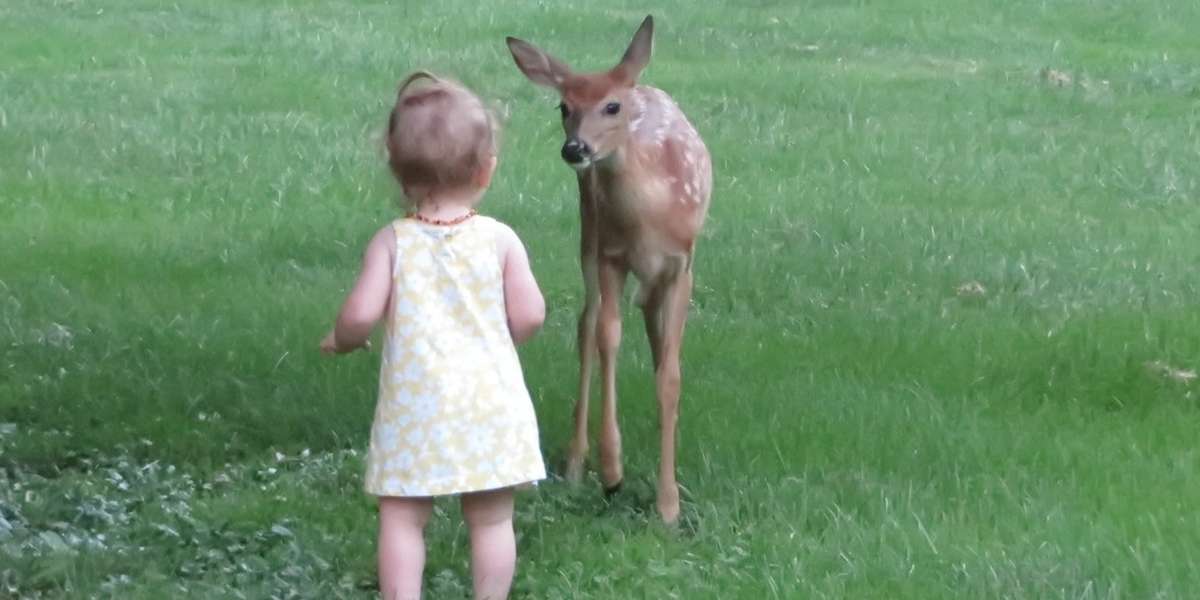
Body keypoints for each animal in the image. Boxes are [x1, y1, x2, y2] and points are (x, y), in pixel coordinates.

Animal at [506, 12, 710, 520]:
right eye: (563, 106)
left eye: (612, 106)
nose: (575, 149)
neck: (648, 220)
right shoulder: (610, 257)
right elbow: (607, 340)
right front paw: (612, 468)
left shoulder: (682, 265)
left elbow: (670, 373)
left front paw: (668, 503)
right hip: (588, 234)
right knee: (588, 324)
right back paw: (578, 464)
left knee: (651, 329)